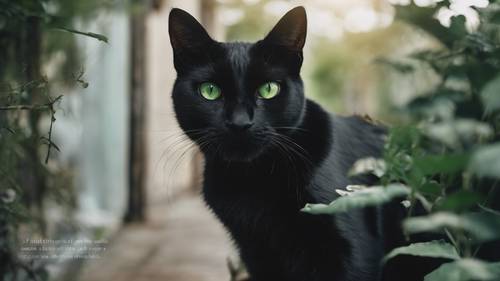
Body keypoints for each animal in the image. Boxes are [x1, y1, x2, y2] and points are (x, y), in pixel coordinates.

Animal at [168, 6, 434, 280]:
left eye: (268, 89)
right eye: (210, 91)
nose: (240, 123)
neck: (252, 180)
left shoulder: (354, 254)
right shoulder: (257, 254)